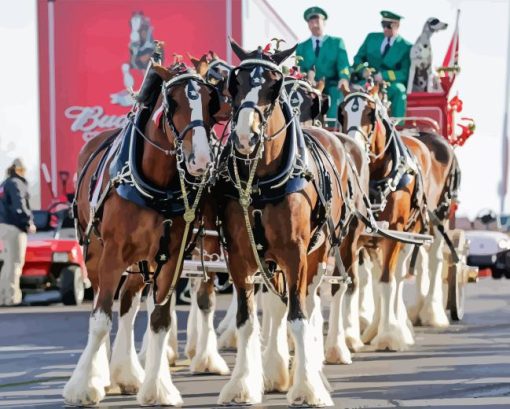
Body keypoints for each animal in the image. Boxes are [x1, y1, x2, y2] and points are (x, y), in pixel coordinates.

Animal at [62, 62, 222, 406]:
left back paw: (126, 374)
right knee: (100, 302)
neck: (157, 185)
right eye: (173, 104)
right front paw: (83, 387)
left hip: (140, 262)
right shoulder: (112, 254)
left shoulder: (171, 258)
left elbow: (159, 319)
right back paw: (101, 374)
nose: (202, 160)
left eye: (211, 101)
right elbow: (100, 319)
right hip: (94, 254)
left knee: (128, 304)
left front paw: (158, 389)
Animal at [217, 41, 364, 404]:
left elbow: (299, 317)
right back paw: (276, 368)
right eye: (234, 84)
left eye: (273, 85)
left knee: (313, 302)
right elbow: (246, 320)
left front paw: (308, 387)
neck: (260, 180)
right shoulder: (239, 256)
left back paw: (316, 365)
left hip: (325, 249)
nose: (245, 137)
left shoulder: (295, 254)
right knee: (277, 305)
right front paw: (242, 384)